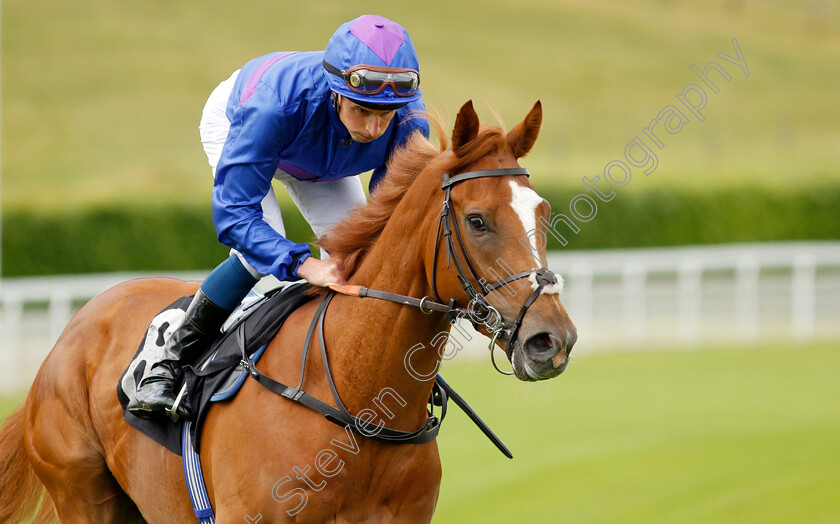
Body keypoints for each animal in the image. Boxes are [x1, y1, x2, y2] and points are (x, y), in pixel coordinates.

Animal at [0, 100, 576, 520]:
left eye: (543, 212)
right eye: (477, 221)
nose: (552, 340)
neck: (355, 397)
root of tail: (75, 324)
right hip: (82, 493)